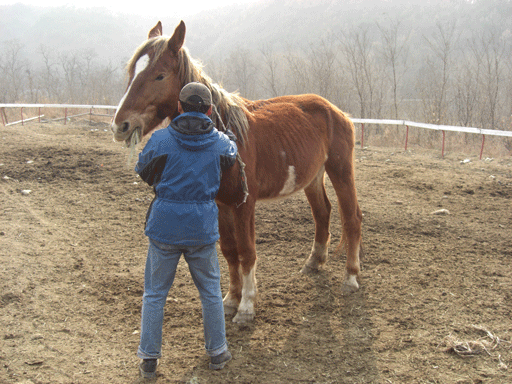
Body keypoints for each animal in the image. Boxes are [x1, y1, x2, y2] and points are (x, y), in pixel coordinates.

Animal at [111, 21, 364, 324]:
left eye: (159, 75)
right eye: (133, 73)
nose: (120, 125)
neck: (227, 135)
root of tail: (338, 111)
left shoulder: (244, 204)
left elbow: (247, 252)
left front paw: (246, 307)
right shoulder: (221, 204)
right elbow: (230, 252)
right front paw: (231, 299)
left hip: (341, 170)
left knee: (352, 218)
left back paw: (350, 278)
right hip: (313, 177)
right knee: (322, 213)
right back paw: (314, 263)